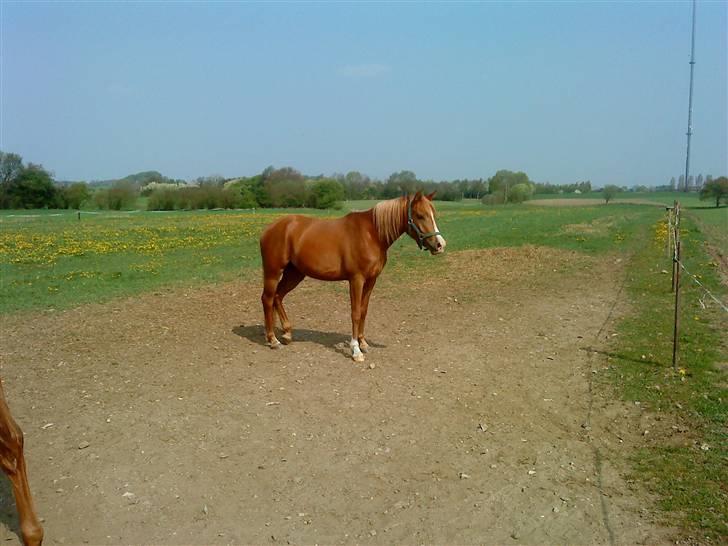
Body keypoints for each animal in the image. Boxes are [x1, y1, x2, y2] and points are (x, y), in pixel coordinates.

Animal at [258, 191, 446, 362]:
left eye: (433, 214)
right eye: (420, 215)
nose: (440, 245)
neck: (371, 234)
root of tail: (269, 229)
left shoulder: (371, 280)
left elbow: (363, 311)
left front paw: (363, 343)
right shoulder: (357, 279)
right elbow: (355, 312)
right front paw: (356, 350)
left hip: (295, 274)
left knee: (278, 296)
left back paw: (287, 334)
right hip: (273, 272)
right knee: (267, 299)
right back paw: (273, 340)